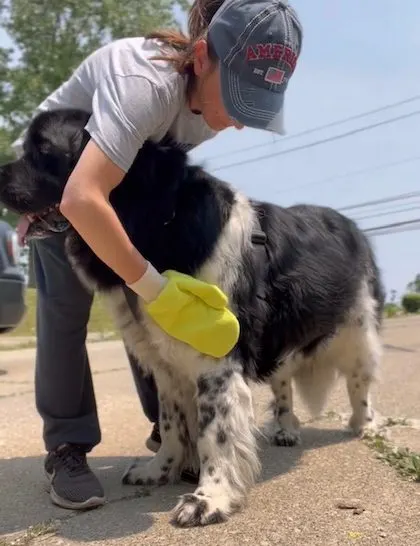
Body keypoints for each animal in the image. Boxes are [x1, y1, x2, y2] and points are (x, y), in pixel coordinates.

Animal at [0, 108, 384, 524]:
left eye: (42, 149)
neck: (156, 218)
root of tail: (351, 225)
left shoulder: (217, 362)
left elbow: (214, 433)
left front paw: (209, 498)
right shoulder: (165, 363)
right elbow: (171, 422)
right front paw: (159, 470)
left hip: (358, 329)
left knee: (359, 382)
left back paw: (364, 424)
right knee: (282, 382)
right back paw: (286, 429)